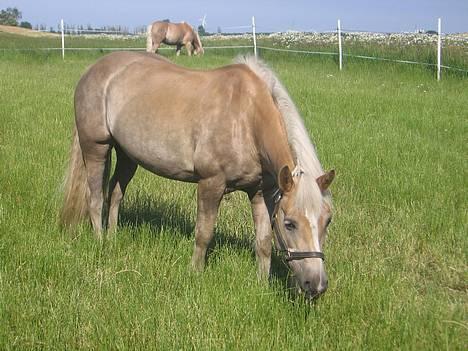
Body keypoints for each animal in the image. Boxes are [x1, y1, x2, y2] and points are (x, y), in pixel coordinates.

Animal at [60, 52, 334, 300]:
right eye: (290, 224)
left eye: (327, 221)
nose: (316, 285)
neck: (247, 117)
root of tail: (93, 69)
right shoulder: (211, 184)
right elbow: (203, 233)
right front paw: (195, 273)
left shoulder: (261, 193)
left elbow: (263, 242)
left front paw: (261, 283)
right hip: (96, 147)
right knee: (96, 197)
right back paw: (100, 242)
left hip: (128, 155)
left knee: (115, 194)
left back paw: (113, 237)